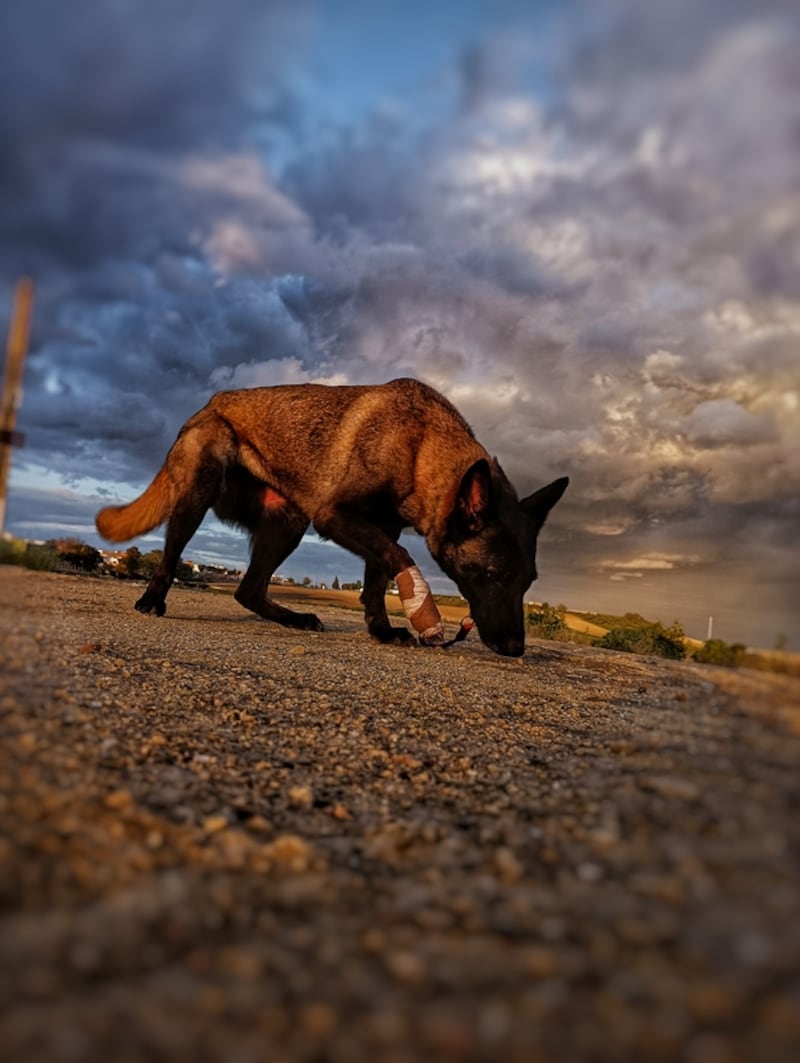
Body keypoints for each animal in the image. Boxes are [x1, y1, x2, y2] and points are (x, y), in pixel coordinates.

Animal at [95, 374, 569, 654]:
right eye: (491, 576)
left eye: (528, 582)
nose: (516, 648)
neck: (422, 448)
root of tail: (208, 405)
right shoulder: (336, 516)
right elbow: (399, 558)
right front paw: (420, 615)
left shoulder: (384, 525)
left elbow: (379, 578)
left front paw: (382, 629)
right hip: (198, 494)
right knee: (172, 556)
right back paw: (152, 599)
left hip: (286, 523)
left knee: (248, 591)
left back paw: (295, 619)